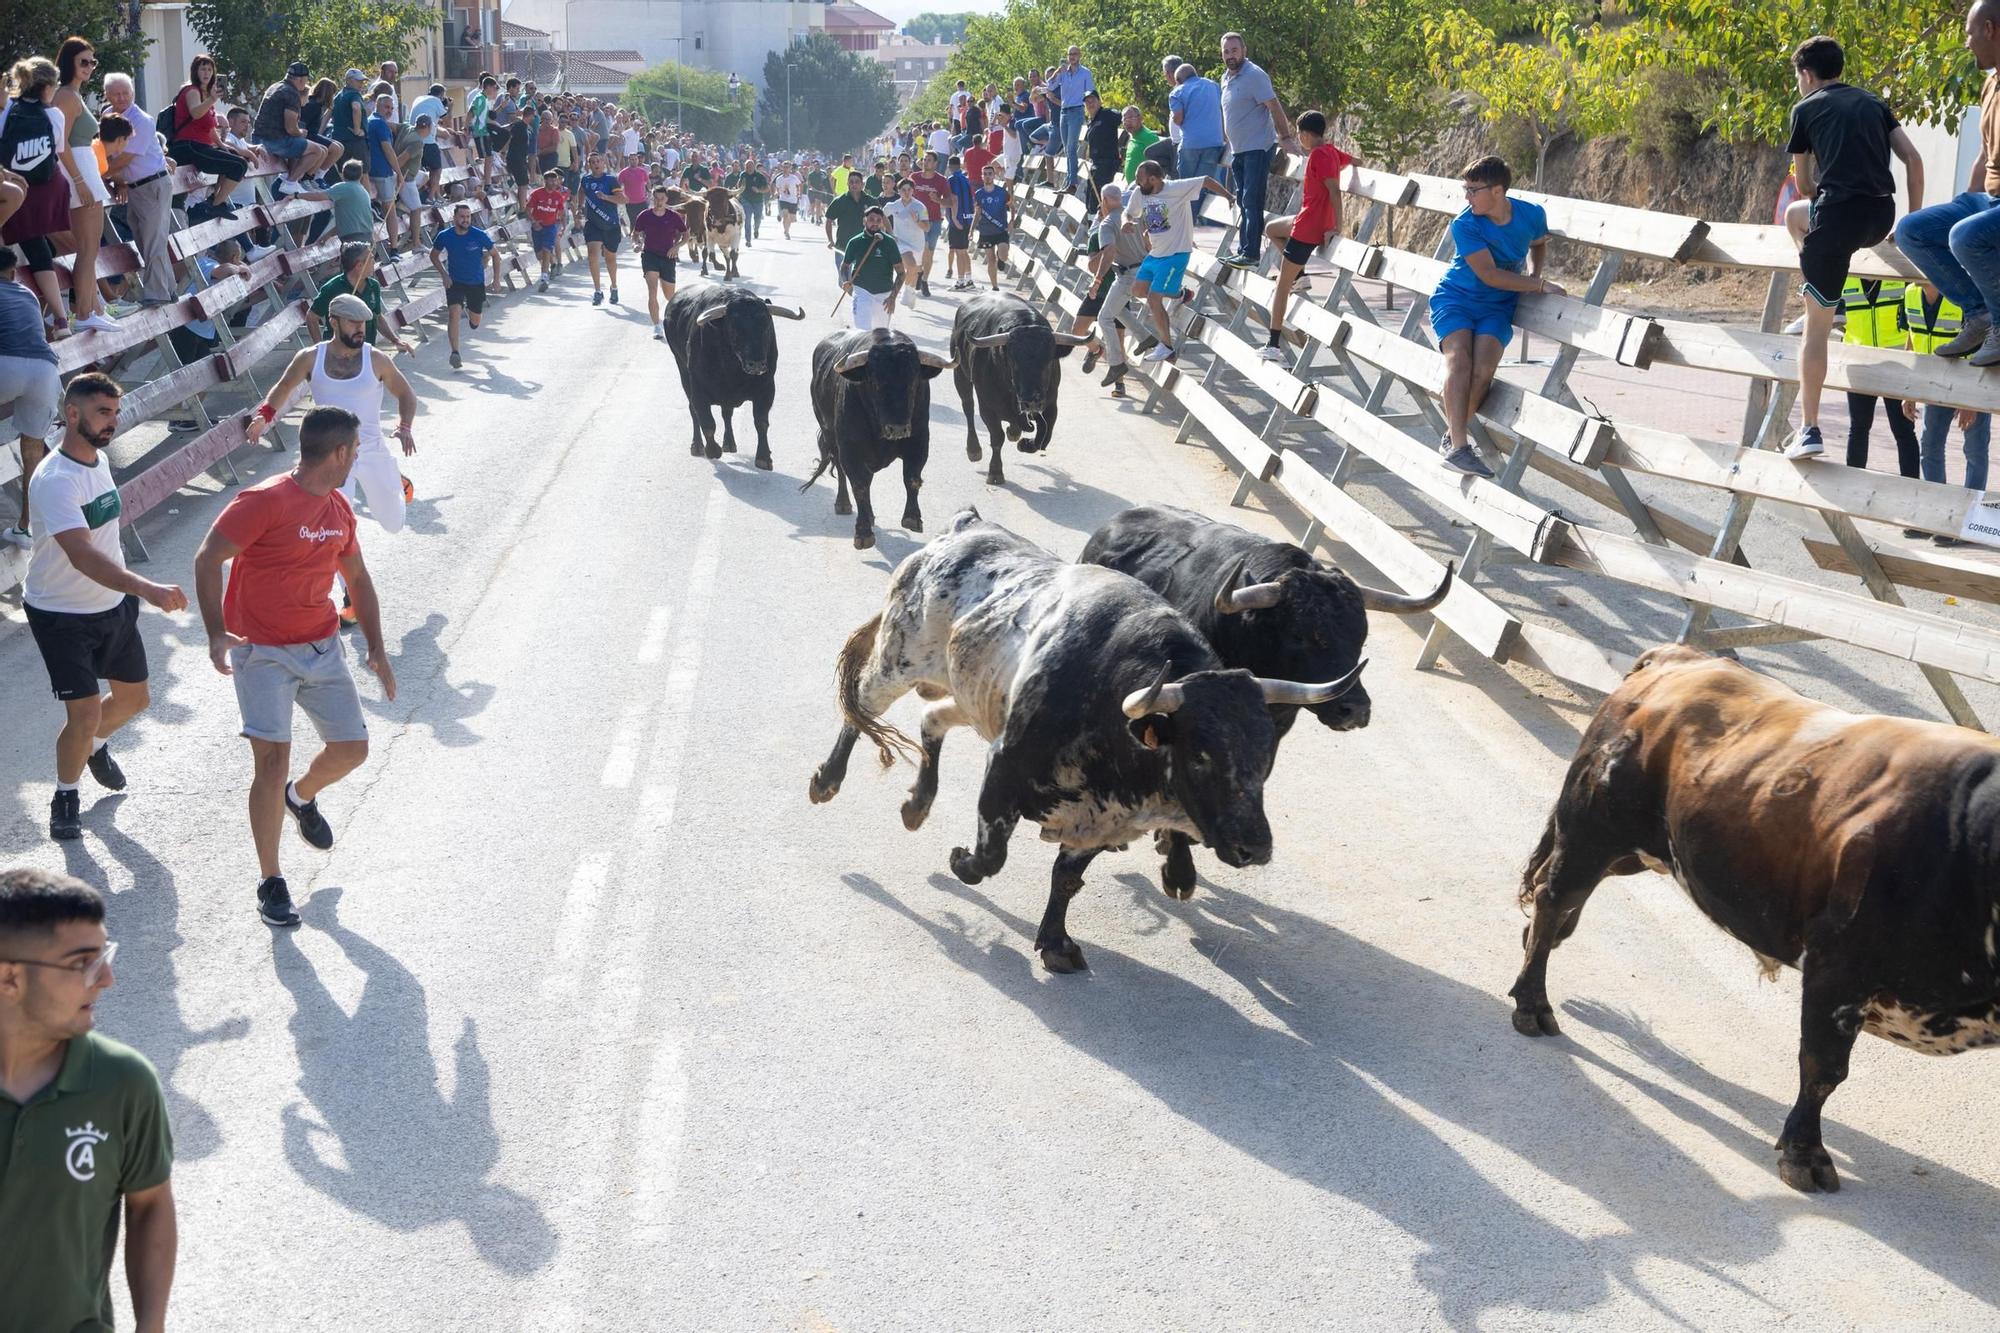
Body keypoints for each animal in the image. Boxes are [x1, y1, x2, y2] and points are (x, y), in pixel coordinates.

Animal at [664, 280, 804, 466]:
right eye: (734, 328)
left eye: (766, 326)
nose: (756, 363)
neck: (733, 371)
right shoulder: (698, 387)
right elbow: (707, 422)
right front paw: (712, 450)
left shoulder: (767, 388)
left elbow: (761, 421)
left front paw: (764, 457)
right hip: (682, 371)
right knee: (694, 411)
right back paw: (698, 446)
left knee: (726, 413)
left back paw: (729, 443)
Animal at [800, 332, 948, 548]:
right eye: (875, 383)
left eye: (913, 382)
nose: (898, 429)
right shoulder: (850, 450)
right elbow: (859, 486)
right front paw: (863, 533)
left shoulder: (919, 441)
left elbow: (911, 478)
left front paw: (912, 518)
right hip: (831, 438)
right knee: (842, 472)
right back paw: (843, 503)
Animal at [808, 508, 1360, 964]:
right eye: (1201, 756)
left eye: (1267, 758)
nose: (1255, 847)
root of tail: (965, 528)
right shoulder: (1005, 766)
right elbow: (990, 858)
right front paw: (962, 861)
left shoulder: (1105, 821)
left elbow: (1067, 878)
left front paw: (1055, 942)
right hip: (896, 660)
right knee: (861, 705)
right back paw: (827, 779)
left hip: (969, 694)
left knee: (932, 719)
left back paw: (916, 804)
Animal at [948, 288, 1088, 486]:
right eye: (1013, 361)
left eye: (1049, 361)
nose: (1032, 401)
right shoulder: (987, 407)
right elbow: (996, 437)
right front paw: (995, 472)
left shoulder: (1051, 405)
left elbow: (1044, 437)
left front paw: (1025, 444)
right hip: (959, 373)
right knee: (968, 407)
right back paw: (974, 449)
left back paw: (1014, 432)